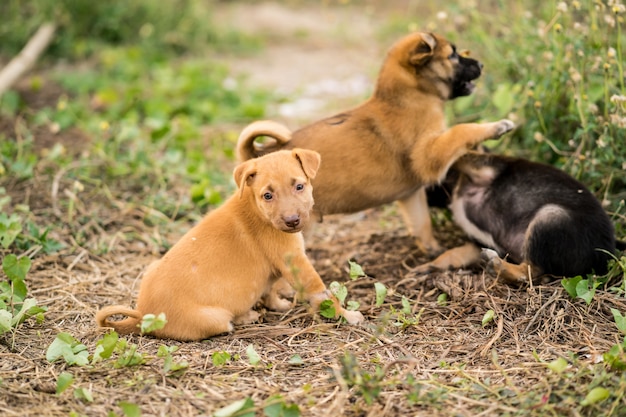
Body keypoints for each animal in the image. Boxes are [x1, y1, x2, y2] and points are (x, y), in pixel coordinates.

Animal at [95, 148, 364, 340]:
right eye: (268, 195)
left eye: (299, 186)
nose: (292, 221)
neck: (256, 209)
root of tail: (142, 317)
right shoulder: (297, 263)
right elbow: (323, 295)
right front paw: (347, 315)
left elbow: (270, 289)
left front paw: (277, 304)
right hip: (215, 318)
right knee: (226, 324)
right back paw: (245, 317)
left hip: (151, 267)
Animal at [236, 30, 516, 254]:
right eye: (453, 56)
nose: (481, 63)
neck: (411, 96)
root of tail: (256, 156)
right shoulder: (428, 155)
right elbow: (460, 130)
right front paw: (496, 126)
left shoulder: (412, 195)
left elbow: (422, 224)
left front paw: (433, 251)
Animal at [410, 151, 620, 284]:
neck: (454, 189)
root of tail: (607, 251)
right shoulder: (477, 243)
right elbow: (454, 253)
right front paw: (430, 265)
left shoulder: (485, 167)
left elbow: (458, 152)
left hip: (548, 217)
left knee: (531, 269)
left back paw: (499, 265)